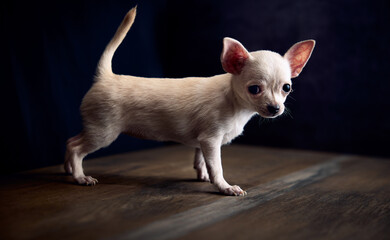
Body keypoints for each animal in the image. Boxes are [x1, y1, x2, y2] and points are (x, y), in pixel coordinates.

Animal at [64, 7, 314, 197]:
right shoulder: (211, 139)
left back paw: (68, 169)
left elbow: (201, 158)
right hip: (104, 132)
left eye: (286, 88)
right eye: (254, 89)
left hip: (95, 128)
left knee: (70, 141)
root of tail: (106, 76)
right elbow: (216, 166)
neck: (234, 102)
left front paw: (202, 174)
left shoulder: (202, 140)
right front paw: (225, 187)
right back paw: (80, 177)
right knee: (77, 148)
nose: (275, 108)